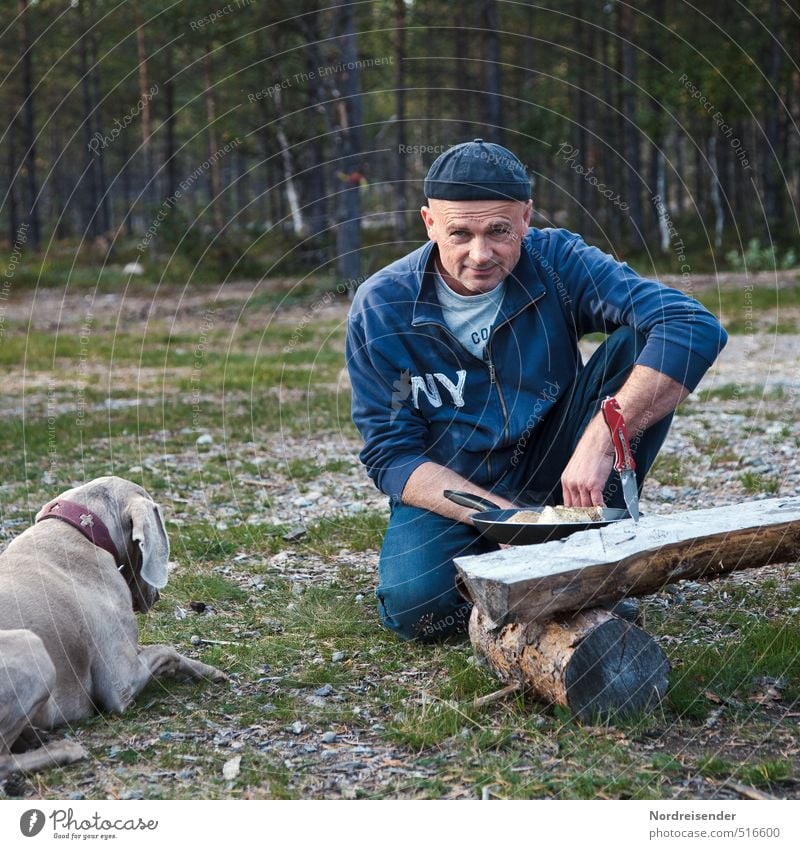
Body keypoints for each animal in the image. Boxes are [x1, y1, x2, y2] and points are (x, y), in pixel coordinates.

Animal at [0, 474, 225, 780]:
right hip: (31, 647)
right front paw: (206, 670)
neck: (80, 532)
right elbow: (167, 651)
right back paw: (65, 750)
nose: (157, 597)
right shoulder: (120, 683)